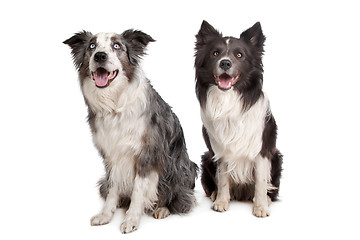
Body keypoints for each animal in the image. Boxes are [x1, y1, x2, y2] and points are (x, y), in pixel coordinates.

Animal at [62, 29, 197, 233]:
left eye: (117, 46)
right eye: (92, 46)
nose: (100, 56)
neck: (114, 104)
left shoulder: (147, 154)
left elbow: (138, 191)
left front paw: (131, 219)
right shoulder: (111, 156)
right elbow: (112, 188)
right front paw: (106, 214)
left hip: (179, 168)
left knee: (178, 196)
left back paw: (162, 209)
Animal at [195, 21, 282, 218]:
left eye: (239, 54)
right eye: (215, 53)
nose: (225, 63)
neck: (229, 99)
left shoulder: (262, 149)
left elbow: (260, 181)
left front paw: (260, 206)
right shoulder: (219, 149)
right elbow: (223, 177)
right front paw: (221, 201)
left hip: (276, 157)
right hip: (206, 157)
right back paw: (214, 194)